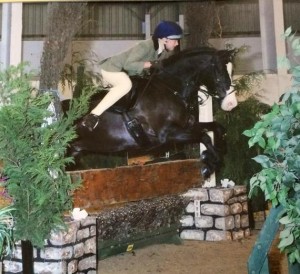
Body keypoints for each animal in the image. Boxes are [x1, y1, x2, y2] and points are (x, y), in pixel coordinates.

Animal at [65, 47, 237, 178]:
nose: (231, 103)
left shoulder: (187, 126)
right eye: (221, 71)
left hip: (74, 152)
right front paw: (210, 165)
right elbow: (204, 136)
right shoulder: (167, 134)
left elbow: (217, 127)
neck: (170, 88)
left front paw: (216, 157)